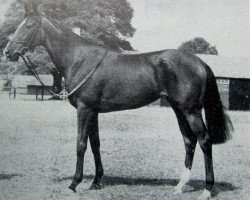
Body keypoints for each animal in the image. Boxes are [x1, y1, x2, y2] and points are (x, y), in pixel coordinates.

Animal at [3, 1, 232, 198]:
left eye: (29, 25)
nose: (8, 52)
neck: (79, 59)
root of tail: (199, 61)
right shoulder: (93, 111)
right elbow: (95, 143)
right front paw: (96, 182)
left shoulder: (84, 109)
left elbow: (80, 144)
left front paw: (74, 183)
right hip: (179, 109)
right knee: (189, 140)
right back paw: (180, 186)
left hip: (191, 110)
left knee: (204, 141)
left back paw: (207, 190)